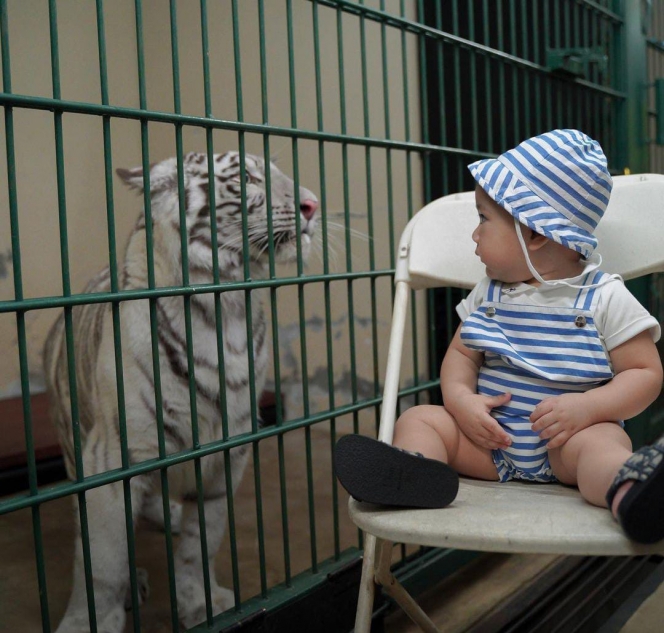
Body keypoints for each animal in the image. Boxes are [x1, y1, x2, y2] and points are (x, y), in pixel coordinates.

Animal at [44, 152, 320, 632]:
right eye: (248, 178)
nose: (313, 205)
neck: (226, 314)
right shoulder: (113, 453)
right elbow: (104, 560)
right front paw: (88, 621)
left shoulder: (226, 454)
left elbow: (200, 543)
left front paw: (200, 601)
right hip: (74, 440)